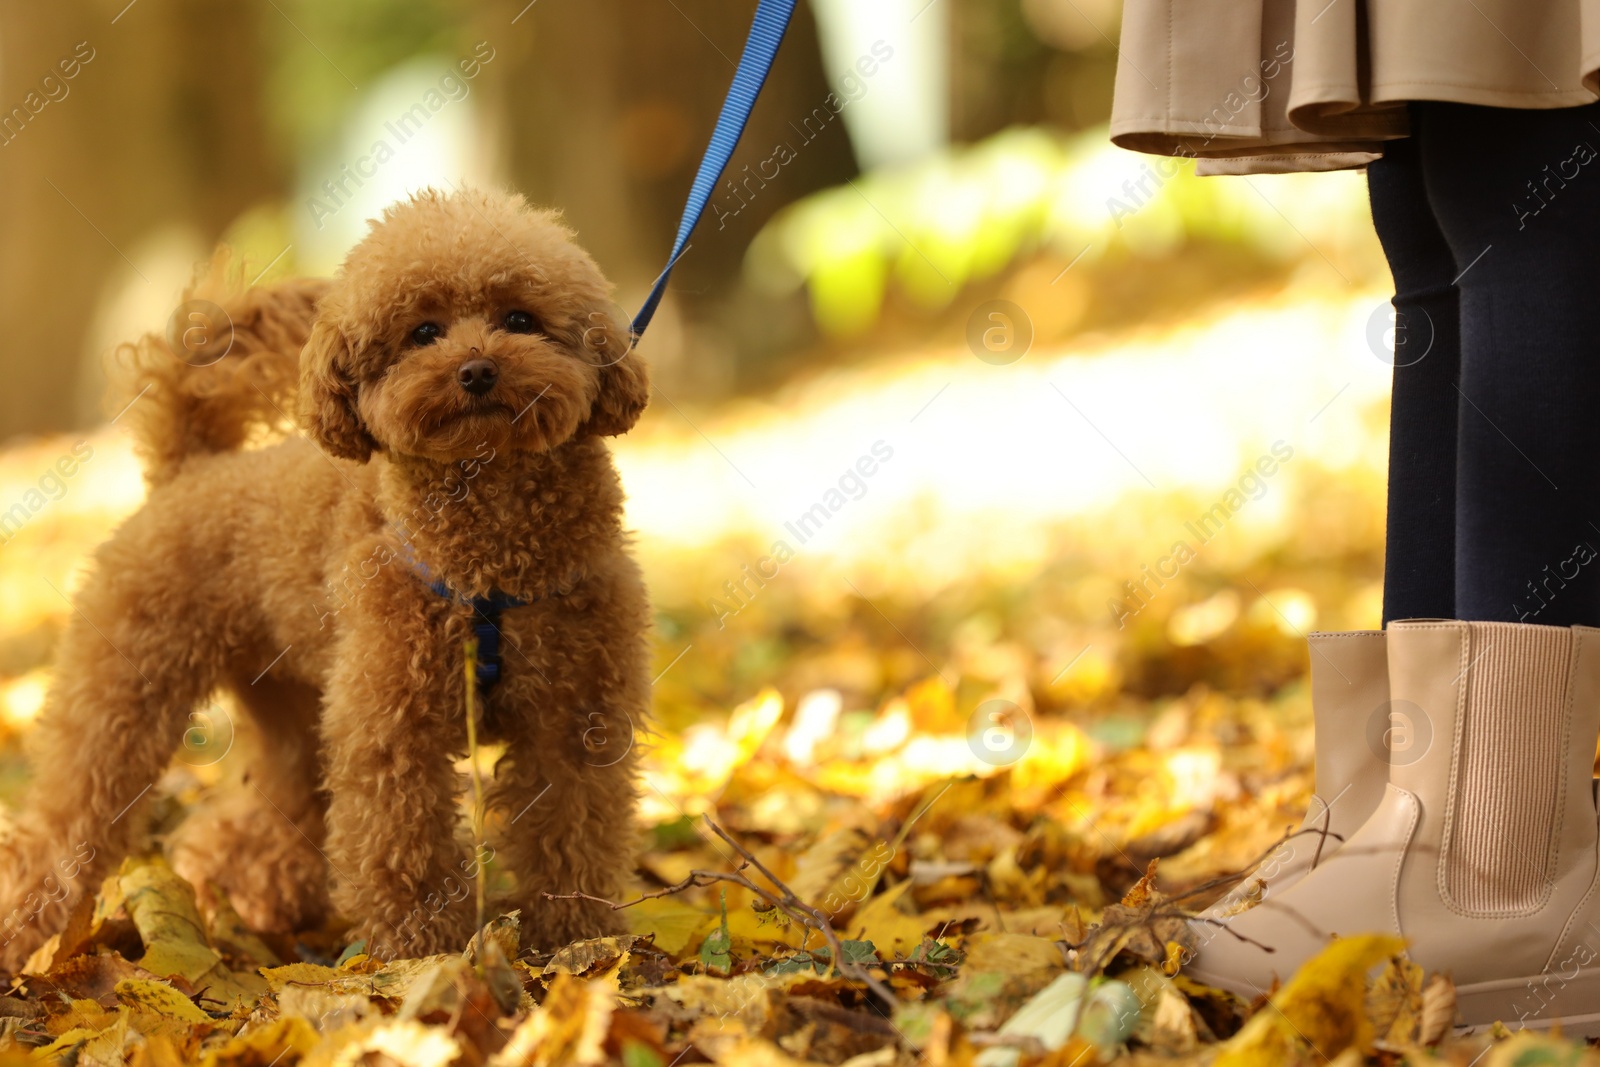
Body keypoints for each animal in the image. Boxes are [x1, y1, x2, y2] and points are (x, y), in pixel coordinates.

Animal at [1, 187, 649, 972]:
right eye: (423, 331)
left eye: (520, 319)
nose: (476, 370)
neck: (488, 555)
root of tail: (192, 468)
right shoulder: (391, 722)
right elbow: (401, 842)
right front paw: (422, 954)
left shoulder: (579, 717)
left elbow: (573, 827)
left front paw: (577, 940)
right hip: (122, 689)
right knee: (66, 820)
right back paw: (30, 934)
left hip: (290, 706)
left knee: (262, 818)